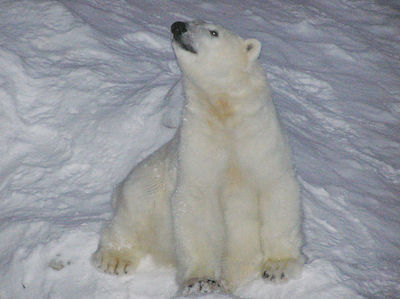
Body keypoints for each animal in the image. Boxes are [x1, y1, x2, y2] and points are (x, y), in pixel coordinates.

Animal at [91, 19, 304, 296]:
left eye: (213, 32)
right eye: (191, 21)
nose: (177, 26)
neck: (225, 115)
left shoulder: (261, 138)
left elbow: (277, 190)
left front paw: (279, 267)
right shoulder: (198, 142)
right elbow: (196, 201)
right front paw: (201, 281)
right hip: (145, 180)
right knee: (134, 211)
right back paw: (114, 258)